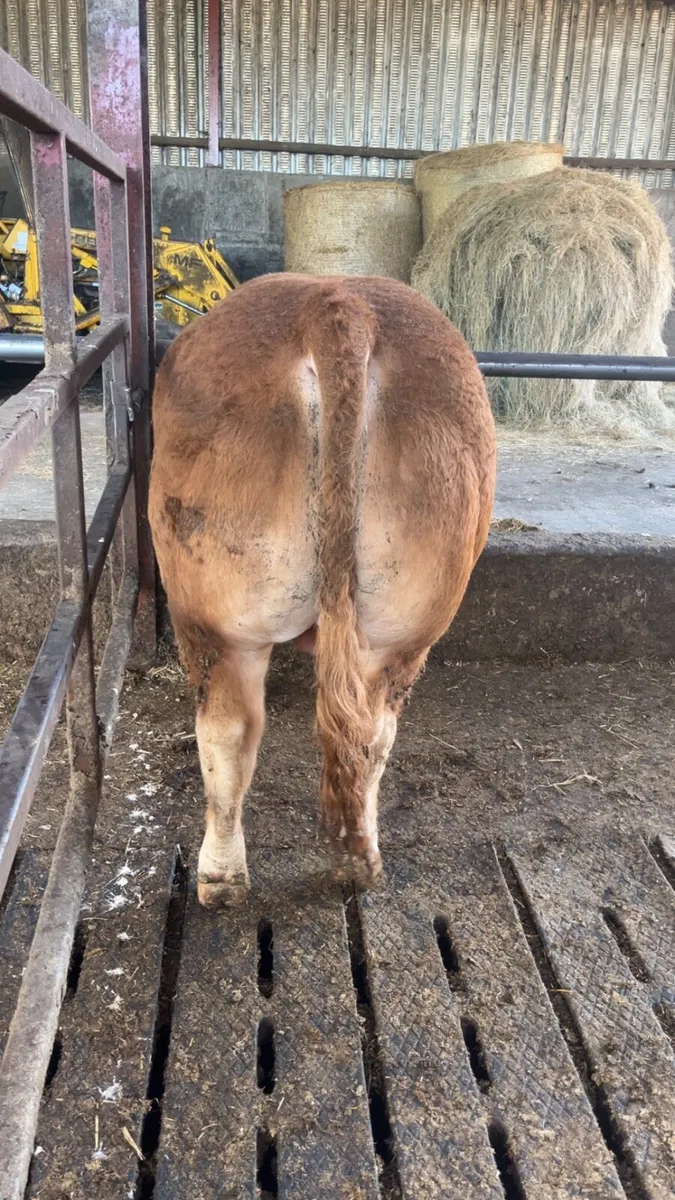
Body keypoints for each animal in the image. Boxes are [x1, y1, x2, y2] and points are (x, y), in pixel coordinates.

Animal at [148, 274, 496, 908]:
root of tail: (335, 305)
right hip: (405, 625)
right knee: (371, 733)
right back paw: (357, 863)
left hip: (214, 617)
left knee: (227, 733)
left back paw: (220, 880)